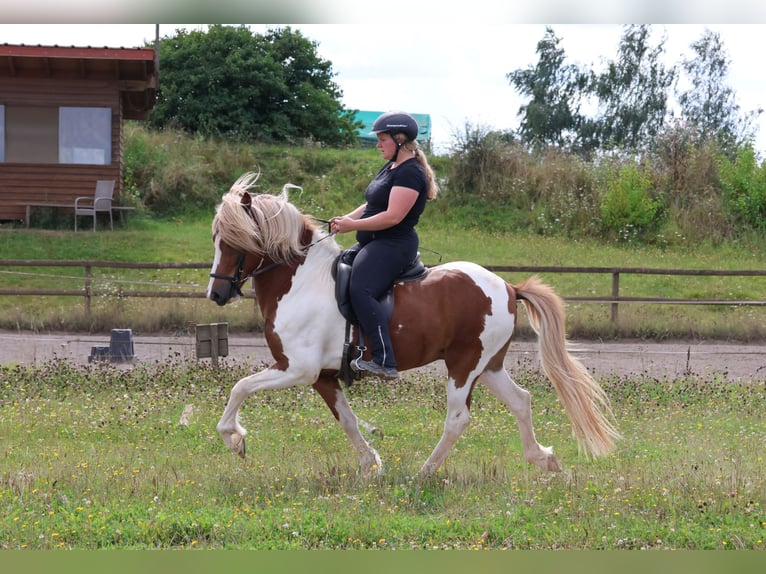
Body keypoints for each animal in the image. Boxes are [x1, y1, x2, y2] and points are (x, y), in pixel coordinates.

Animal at [207, 173, 620, 480]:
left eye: (233, 241)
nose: (216, 293)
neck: (302, 281)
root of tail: (507, 287)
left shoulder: (297, 369)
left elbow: (241, 387)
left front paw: (234, 439)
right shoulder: (322, 376)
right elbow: (348, 420)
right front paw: (371, 467)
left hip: (463, 364)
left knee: (458, 418)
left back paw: (424, 473)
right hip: (488, 365)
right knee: (521, 400)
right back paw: (544, 460)